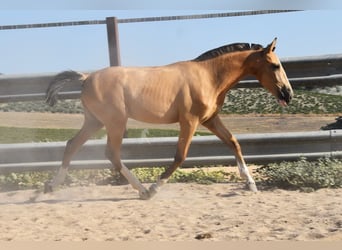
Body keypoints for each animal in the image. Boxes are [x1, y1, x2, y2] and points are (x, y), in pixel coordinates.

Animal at [44, 38, 292, 200]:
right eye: (275, 65)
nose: (288, 94)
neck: (208, 77)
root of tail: (86, 78)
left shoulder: (210, 119)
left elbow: (233, 142)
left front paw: (251, 184)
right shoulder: (189, 121)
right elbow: (180, 156)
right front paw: (156, 187)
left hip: (94, 121)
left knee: (72, 145)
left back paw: (51, 186)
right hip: (115, 122)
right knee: (111, 154)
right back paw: (144, 191)